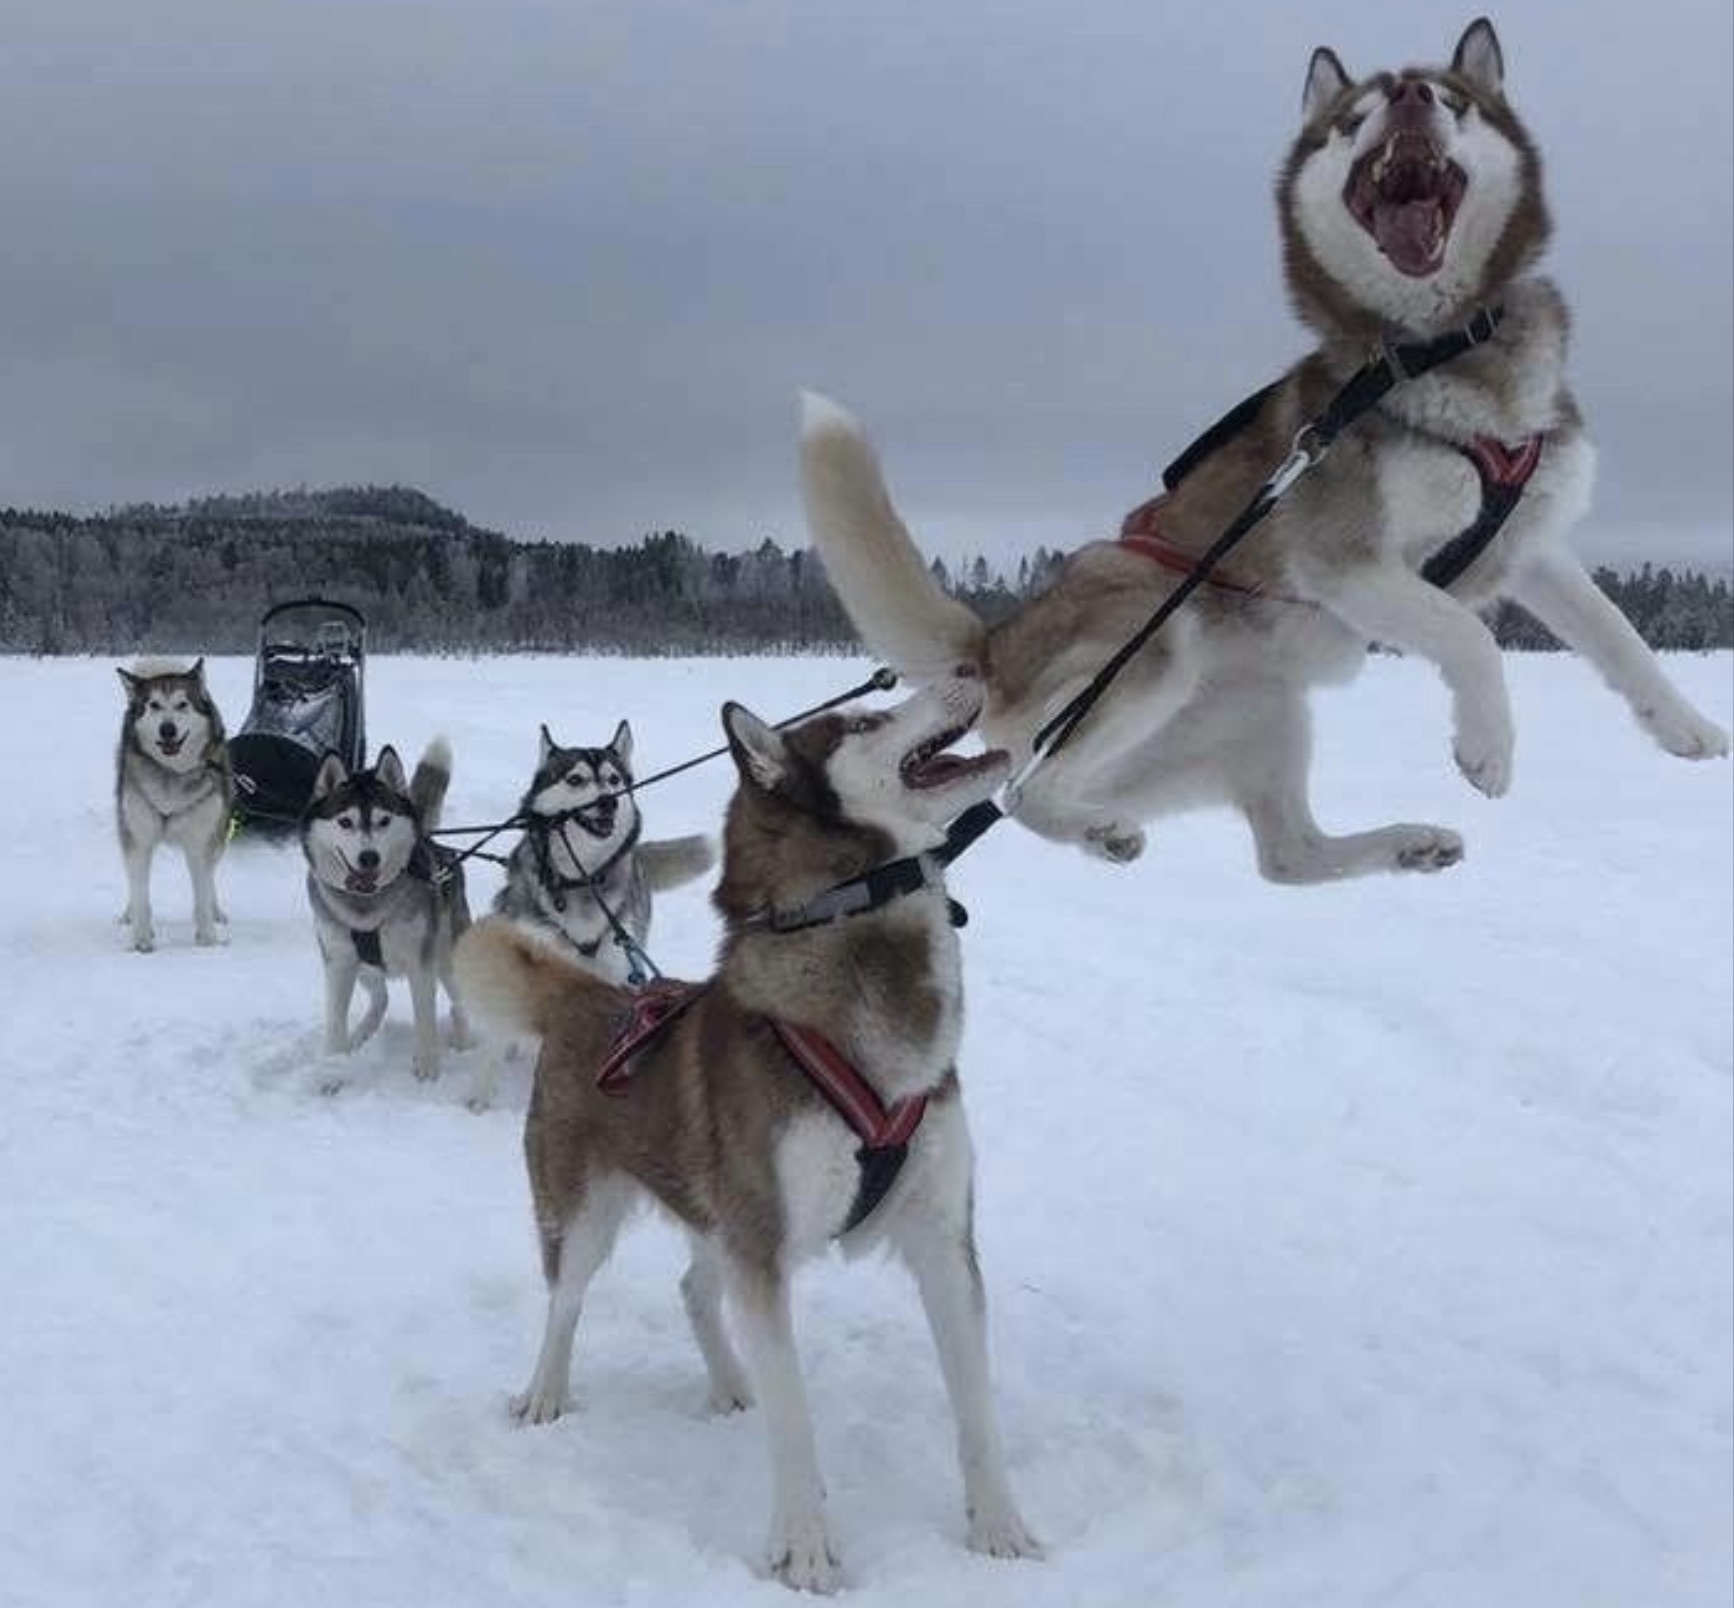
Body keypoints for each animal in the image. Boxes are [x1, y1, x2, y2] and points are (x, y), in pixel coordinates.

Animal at [116, 655, 234, 950]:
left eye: (182, 704)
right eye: (153, 705)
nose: (167, 729)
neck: (172, 774)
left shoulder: (201, 841)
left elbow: (202, 891)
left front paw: (207, 940)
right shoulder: (138, 838)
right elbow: (140, 892)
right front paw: (142, 939)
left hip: (218, 834)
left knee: (211, 877)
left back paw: (216, 911)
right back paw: (128, 914)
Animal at [301, 742, 471, 1096]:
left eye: (383, 820)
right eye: (345, 822)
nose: (369, 857)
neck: (367, 905)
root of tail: (433, 842)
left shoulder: (421, 962)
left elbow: (425, 1017)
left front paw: (428, 1069)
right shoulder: (338, 961)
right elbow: (335, 1019)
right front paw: (332, 1071)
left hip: (447, 954)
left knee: (459, 998)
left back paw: (464, 1038)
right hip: (366, 968)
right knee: (381, 997)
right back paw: (359, 1036)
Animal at [454, 683, 1033, 1595]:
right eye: (863, 723)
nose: (970, 671)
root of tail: (592, 997)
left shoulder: (943, 1243)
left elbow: (976, 1405)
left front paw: (1000, 1528)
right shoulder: (763, 1251)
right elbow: (796, 1416)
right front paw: (803, 1547)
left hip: (717, 1215)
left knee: (695, 1289)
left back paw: (730, 1381)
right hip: (584, 1219)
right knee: (564, 1305)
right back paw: (545, 1394)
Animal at [797, 18, 1720, 888]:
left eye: (1453, 101)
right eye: (1353, 118)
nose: (1411, 97)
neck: (1438, 352)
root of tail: (997, 641)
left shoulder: (1530, 545)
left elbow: (1619, 636)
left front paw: (1691, 727)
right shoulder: (1346, 563)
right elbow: (1470, 636)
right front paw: (1488, 746)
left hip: (1265, 714)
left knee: (1286, 855)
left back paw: (1407, 844)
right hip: (1150, 638)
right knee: (1021, 792)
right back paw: (1096, 830)